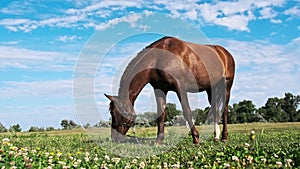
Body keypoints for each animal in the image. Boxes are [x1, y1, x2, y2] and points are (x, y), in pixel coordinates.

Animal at [105, 36, 234, 144]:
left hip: (227, 86)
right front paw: (158, 141)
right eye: (111, 113)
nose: (114, 138)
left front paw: (196, 138)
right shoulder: (160, 89)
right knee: (216, 109)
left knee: (224, 109)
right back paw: (216, 137)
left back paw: (224, 137)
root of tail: (224, 53)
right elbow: (161, 114)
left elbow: (187, 111)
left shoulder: (180, 87)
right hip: (210, 89)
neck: (159, 58)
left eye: (118, 113)